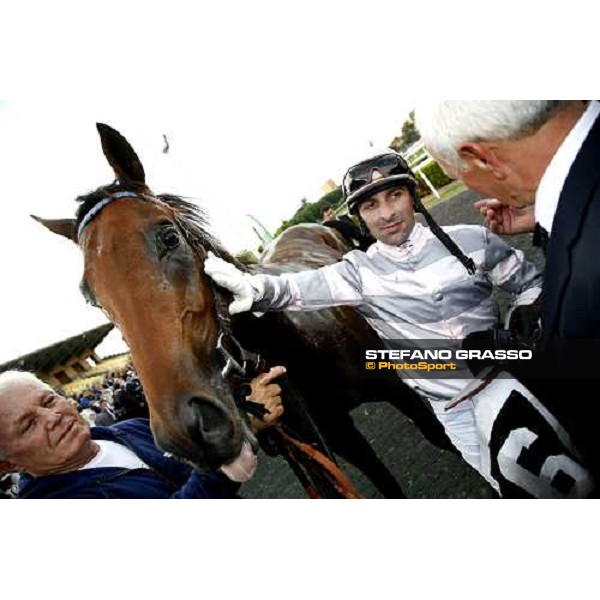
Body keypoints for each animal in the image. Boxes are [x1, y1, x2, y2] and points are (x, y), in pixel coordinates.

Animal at [35, 122, 452, 496]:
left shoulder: (396, 389)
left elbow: (440, 433)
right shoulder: (329, 433)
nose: (188, 430)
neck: (293, 345)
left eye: (169, 237)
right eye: (91, 294)